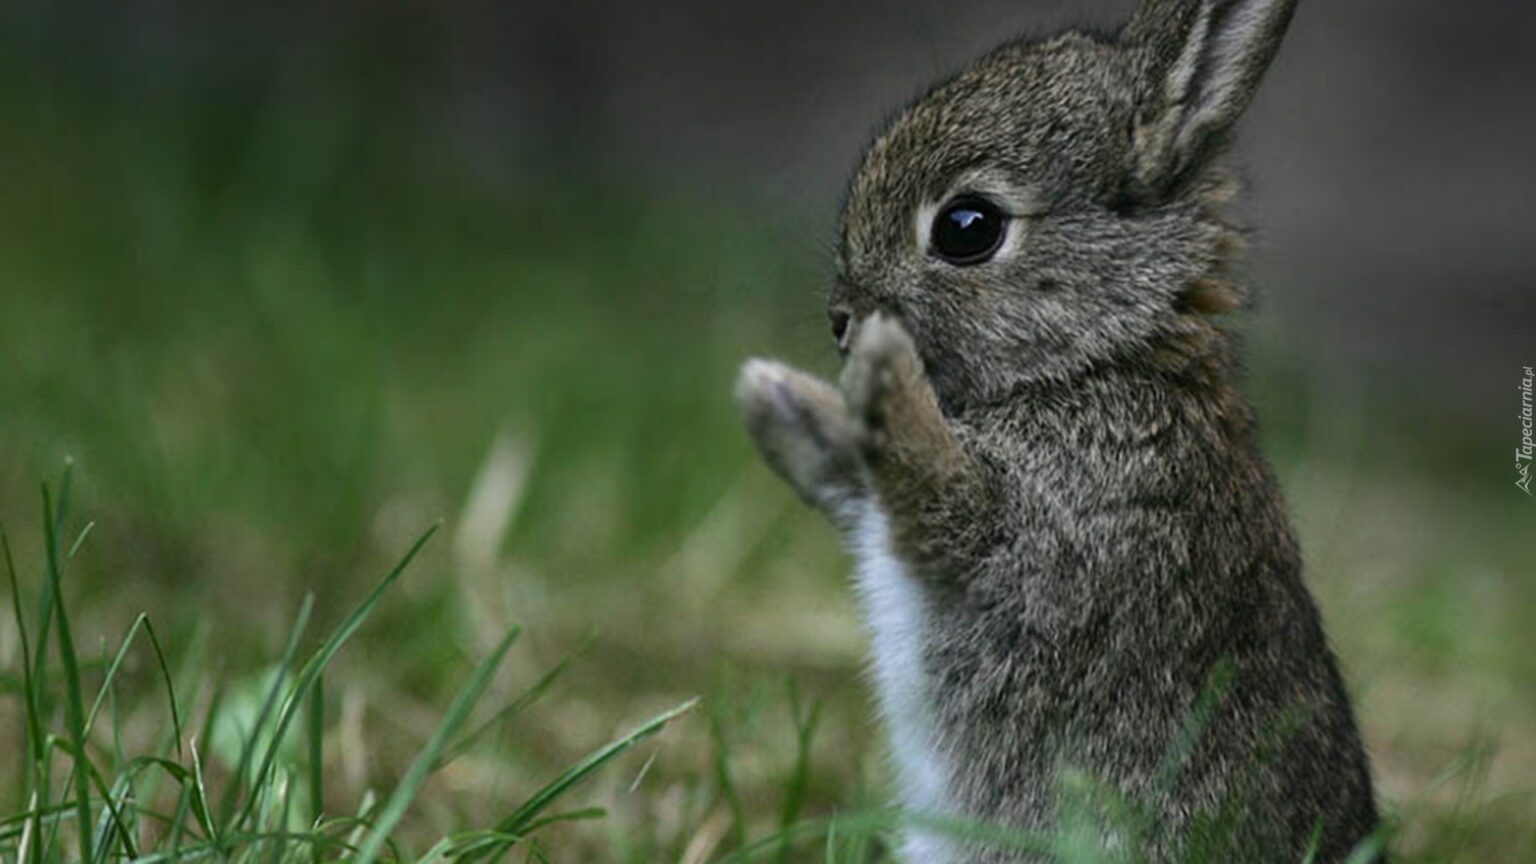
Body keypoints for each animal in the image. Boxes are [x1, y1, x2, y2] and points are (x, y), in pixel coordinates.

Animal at [734, 0, 1382, 854]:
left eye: (967, 227)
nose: (843, 319)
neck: (1098, 361)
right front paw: (773, 397)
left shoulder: (1046, 535)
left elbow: (936, 494)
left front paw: (881, 369)